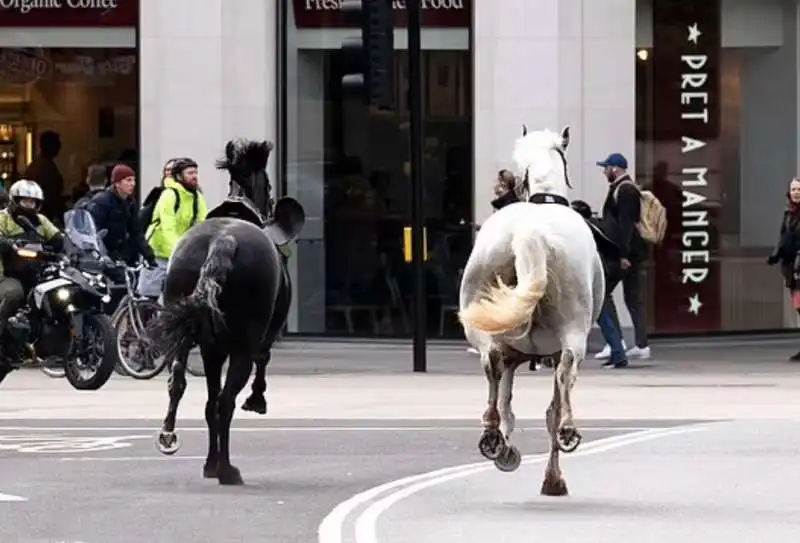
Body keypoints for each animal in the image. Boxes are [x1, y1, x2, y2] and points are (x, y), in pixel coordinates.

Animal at [148, 139, 304, 484]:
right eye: (268, 185)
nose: (270, 201)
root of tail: (225, 240)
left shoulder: (211, 350)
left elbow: (207, 402)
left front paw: (209, 463)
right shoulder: (258, 338)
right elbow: (261, 361)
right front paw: (257, 399)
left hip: (188, 334)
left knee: (183, 385)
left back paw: (176, 439)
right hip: (242, 343)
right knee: (226, 402)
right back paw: (227, 469)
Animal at [460, 124, 604, 498]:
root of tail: (530, 232)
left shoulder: (512, 355)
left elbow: (507, 401)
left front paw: (506, 448)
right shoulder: (550, 353)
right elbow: (549, 408)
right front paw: (553, 478)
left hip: (483, 328)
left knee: (491, 365)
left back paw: (492, 436)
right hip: (573, 333)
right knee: (566, 377)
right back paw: (567, 431)